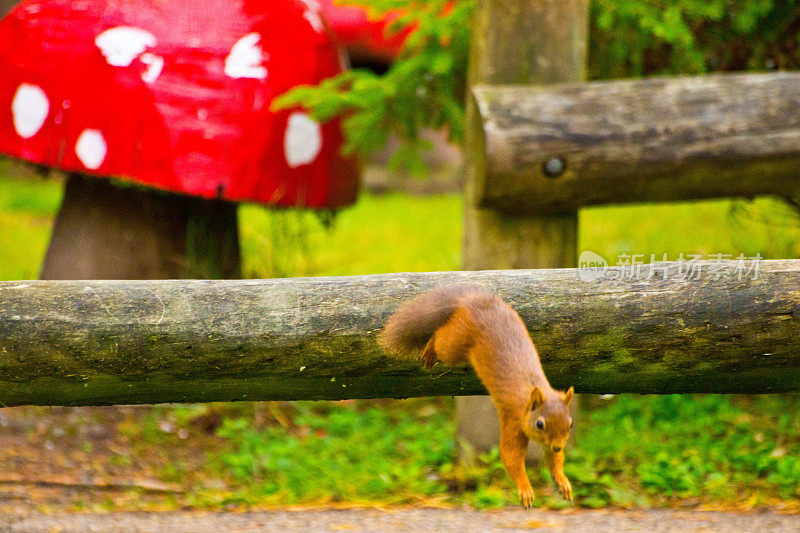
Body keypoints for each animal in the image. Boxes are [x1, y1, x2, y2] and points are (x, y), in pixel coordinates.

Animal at [382, 284, 576, 504]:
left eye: (570, 424)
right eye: (540, 424)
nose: (558, 446)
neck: (531, 392)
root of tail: (471, 301)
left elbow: (554, 460)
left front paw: (562, 481)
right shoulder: (512, 420)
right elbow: (510, 456)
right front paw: (525, 488)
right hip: (455, 344)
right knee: (441, 339)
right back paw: (430, 350)